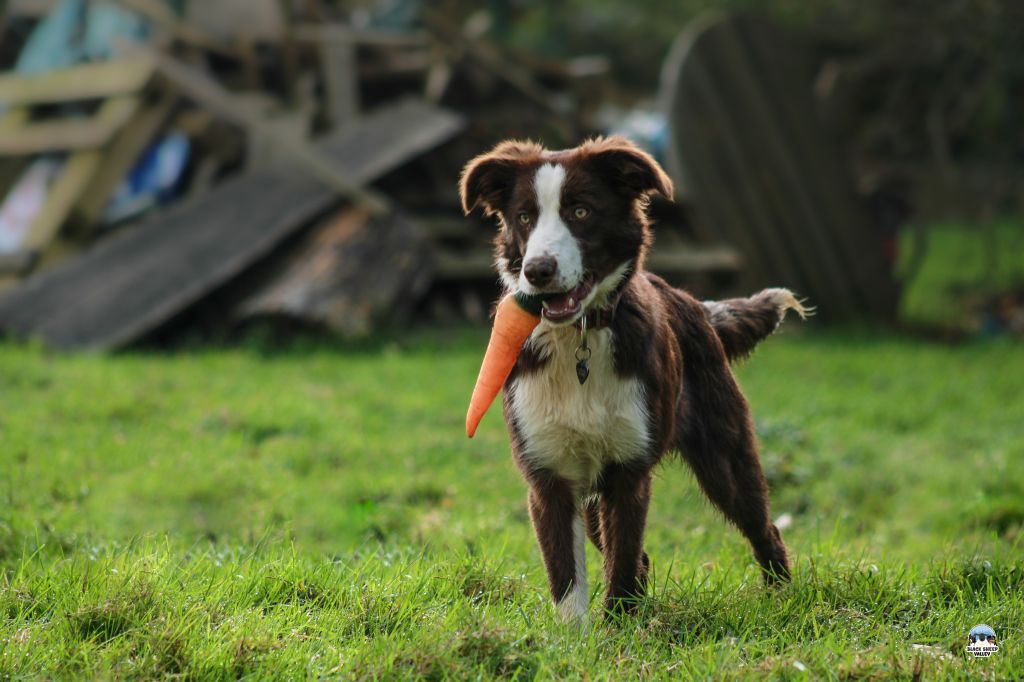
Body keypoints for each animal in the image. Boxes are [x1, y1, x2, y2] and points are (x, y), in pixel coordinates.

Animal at [460, 135, 802, 618]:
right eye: (524, 217)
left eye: (581, 211)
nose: (537, 271)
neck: (580, 337)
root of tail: (697, 305)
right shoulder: (550, 475)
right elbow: (568, 578)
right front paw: (576, 634)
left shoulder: (627, 471)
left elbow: (620, 564)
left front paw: (621, 627)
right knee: (637, 554)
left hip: (726, 454)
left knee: (762, 527)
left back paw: (781, 597)